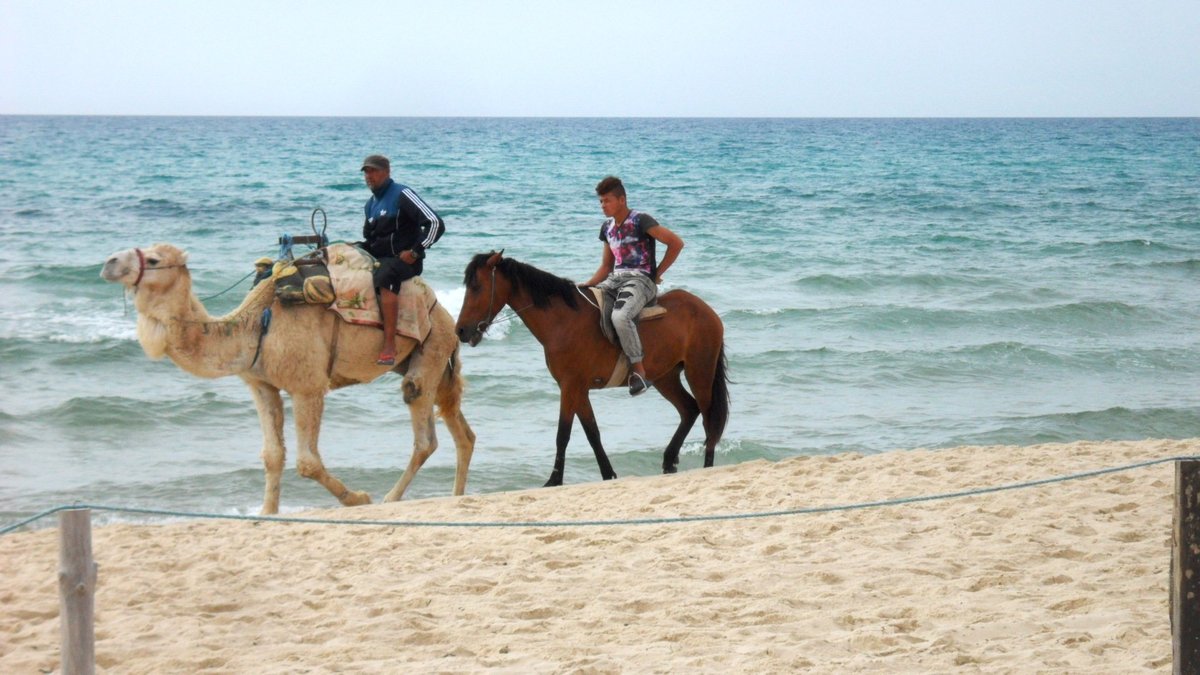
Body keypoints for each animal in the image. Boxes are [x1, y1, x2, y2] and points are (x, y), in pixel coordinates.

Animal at [99, 243, 472, 511]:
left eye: (154, 258)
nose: (109, 262)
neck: (256, 326)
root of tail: (443, 312)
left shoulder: (307, 386)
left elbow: (307, 462)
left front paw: (358, 498)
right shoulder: (261, 385)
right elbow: (272, 455)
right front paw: (267, 512)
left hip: (430, 349)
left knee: (423, 428)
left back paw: (390, 498)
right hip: (432, 362)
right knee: (460, 428)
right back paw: (456, 495)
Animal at [451, 248, 724, 482]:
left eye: (476, 286)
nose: (461, 330)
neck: (562, 321)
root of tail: (706, 309)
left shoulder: (570, 387)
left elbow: (563, 434)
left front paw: (554, 480)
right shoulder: (578, 389)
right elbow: (592, 432)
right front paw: (608, 474)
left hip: (700, 372)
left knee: (709, 420)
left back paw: (707, 467)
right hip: (665, 377)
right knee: (689, 410)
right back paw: (669, 461)